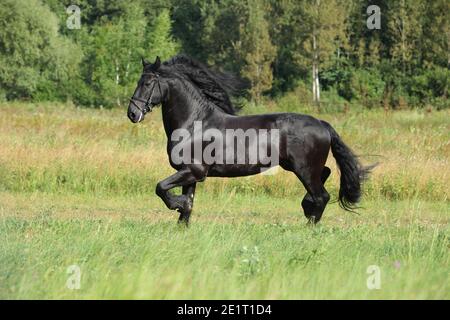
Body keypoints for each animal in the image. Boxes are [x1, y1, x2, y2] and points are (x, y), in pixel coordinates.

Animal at [127, 55, 372, 225]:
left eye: (147, 83)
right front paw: (182, 219)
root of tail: (322, 124)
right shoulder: (190, 175)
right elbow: (188, 206)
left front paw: (177, 204)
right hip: (298, 166)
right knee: (325, 176)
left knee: (322, 196)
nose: (132, 113)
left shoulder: (193, 171)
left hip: (304, 169)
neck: (194, 123)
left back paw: (309, 223)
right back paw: (306, 206)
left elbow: (161, 188)